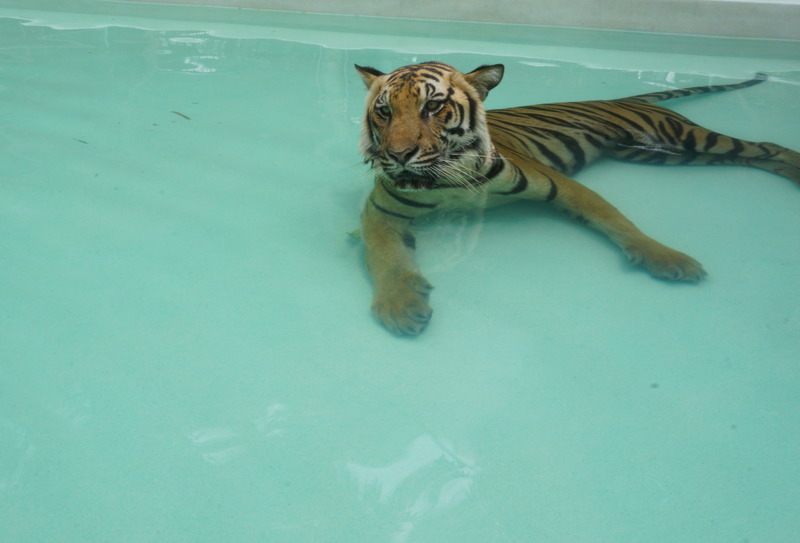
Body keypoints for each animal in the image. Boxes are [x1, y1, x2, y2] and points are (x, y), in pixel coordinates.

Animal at [355, 61, 800, 335]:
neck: (447, 177)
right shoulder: (382, 212)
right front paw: (400, 306)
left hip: (682, 138)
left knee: (765, 146)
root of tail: (625, 98)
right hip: (663, 155)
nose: (398, 155)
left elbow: (616, 220)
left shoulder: (560, 185)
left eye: (433, 106)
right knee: (752, 155)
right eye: (383, 111)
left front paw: (668, 259)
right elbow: (386, 256)